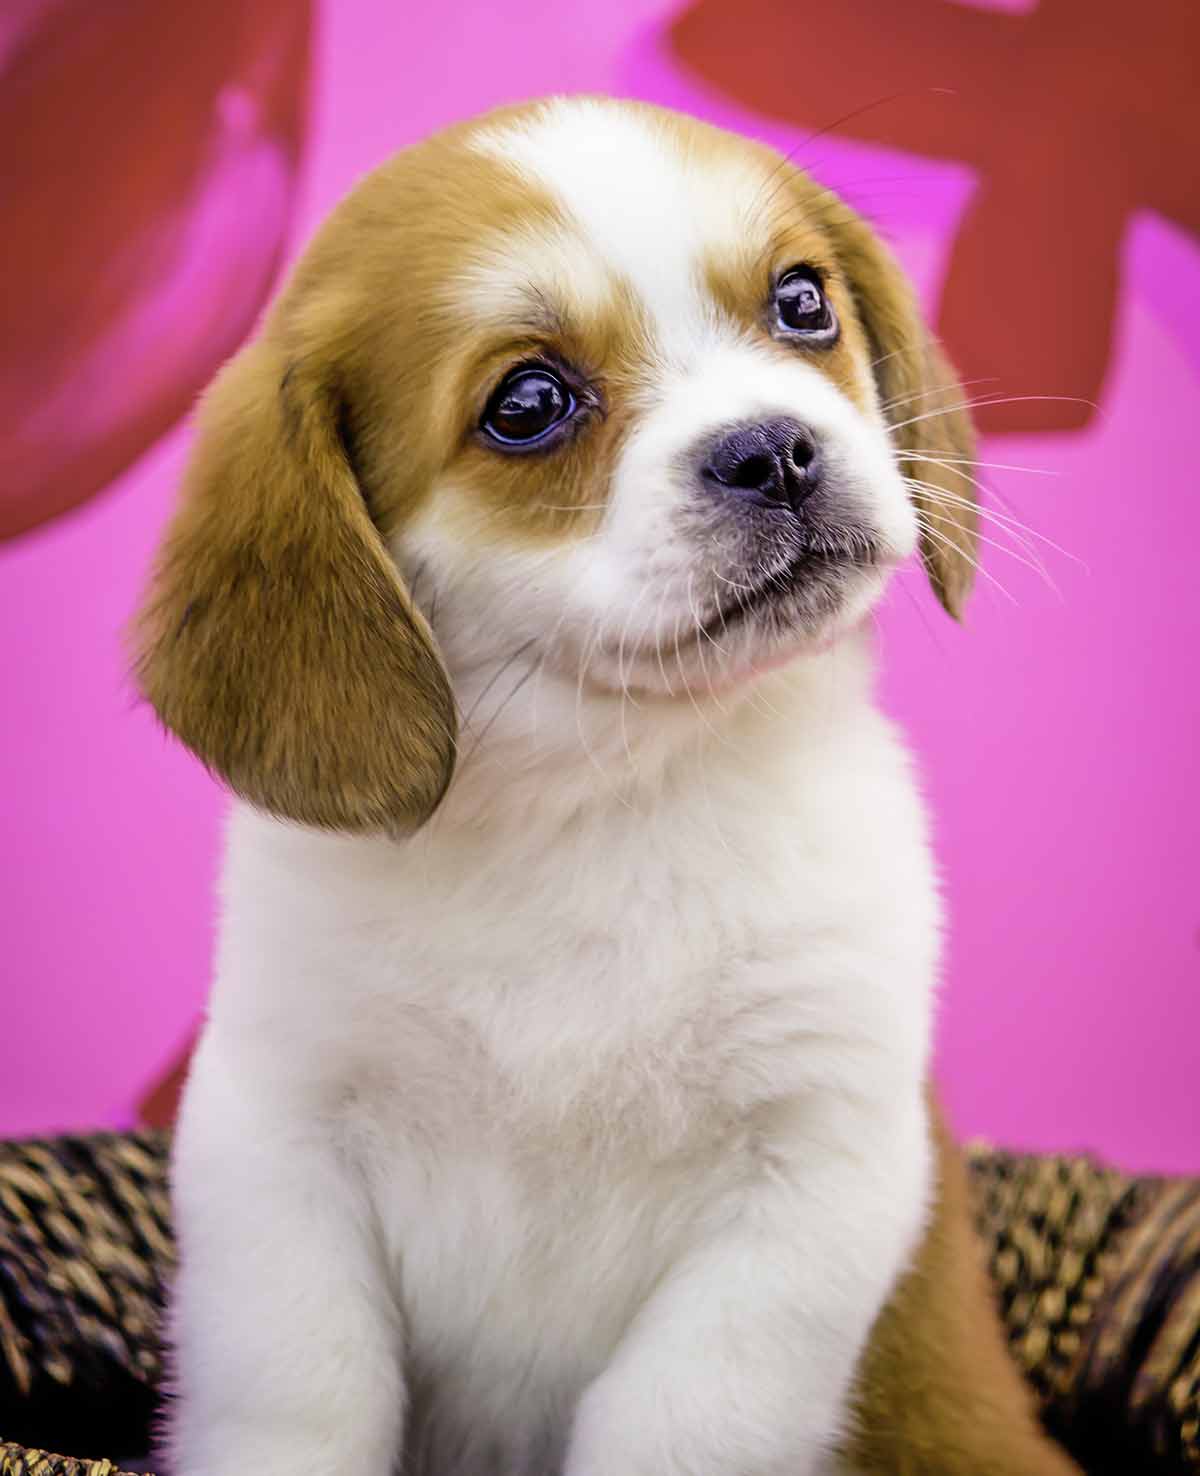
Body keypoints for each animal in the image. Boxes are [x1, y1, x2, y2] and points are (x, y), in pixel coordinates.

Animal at [133, 98, 1074, 1470]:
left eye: (802, 302)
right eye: (529, 403)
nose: (774, 451)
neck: (604, 799)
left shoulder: (809, 1173)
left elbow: (678, 1415)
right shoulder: (275, 1143)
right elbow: (299, 1394)